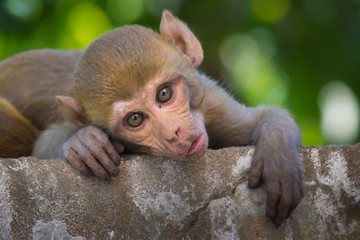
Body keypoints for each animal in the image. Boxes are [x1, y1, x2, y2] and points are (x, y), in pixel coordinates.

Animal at [0, 9, 304, 227]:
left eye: (164, 94)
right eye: (135, 119)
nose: (175, 132)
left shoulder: (213, 104)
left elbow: (262, 118)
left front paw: (277, 150)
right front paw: (82, 141)